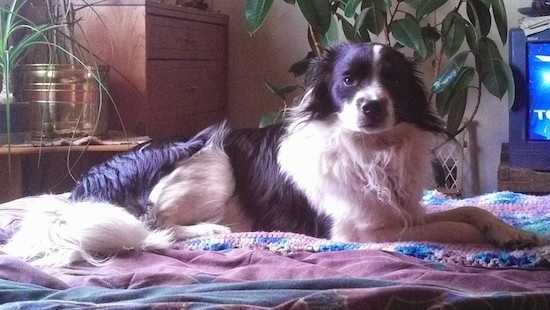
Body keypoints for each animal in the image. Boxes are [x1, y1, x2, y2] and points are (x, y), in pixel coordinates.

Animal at [0, 41, 540, 266]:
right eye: (348, 80)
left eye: (391, 83)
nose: (371, 106)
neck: (369, 150)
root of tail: (81, 191)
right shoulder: (359, 232)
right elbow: (451, 227)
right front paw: (499, 241)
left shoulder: (400, 208)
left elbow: (467, 210)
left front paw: (509, 231)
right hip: (212, 159)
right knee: (152, 226)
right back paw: (212, 230)